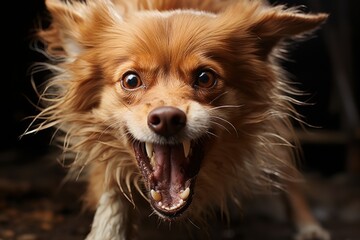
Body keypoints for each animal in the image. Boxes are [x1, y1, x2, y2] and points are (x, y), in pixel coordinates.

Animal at [24, 0, 330, 239]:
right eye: (131, 80)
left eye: (205, 77)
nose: (167, 118)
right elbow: (112, 189)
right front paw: (107, 230)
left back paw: (309, 226)